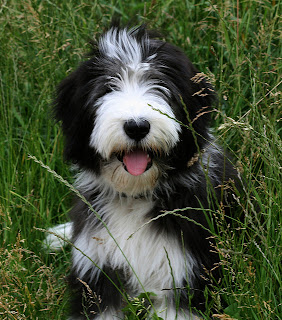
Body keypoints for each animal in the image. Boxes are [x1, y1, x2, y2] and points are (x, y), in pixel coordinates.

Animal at [49, 23, 240, 318]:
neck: (135, 196)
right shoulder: (96, 272)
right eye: (107, 87)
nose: (137, 126)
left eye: (161, 85)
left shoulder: (185, 274)